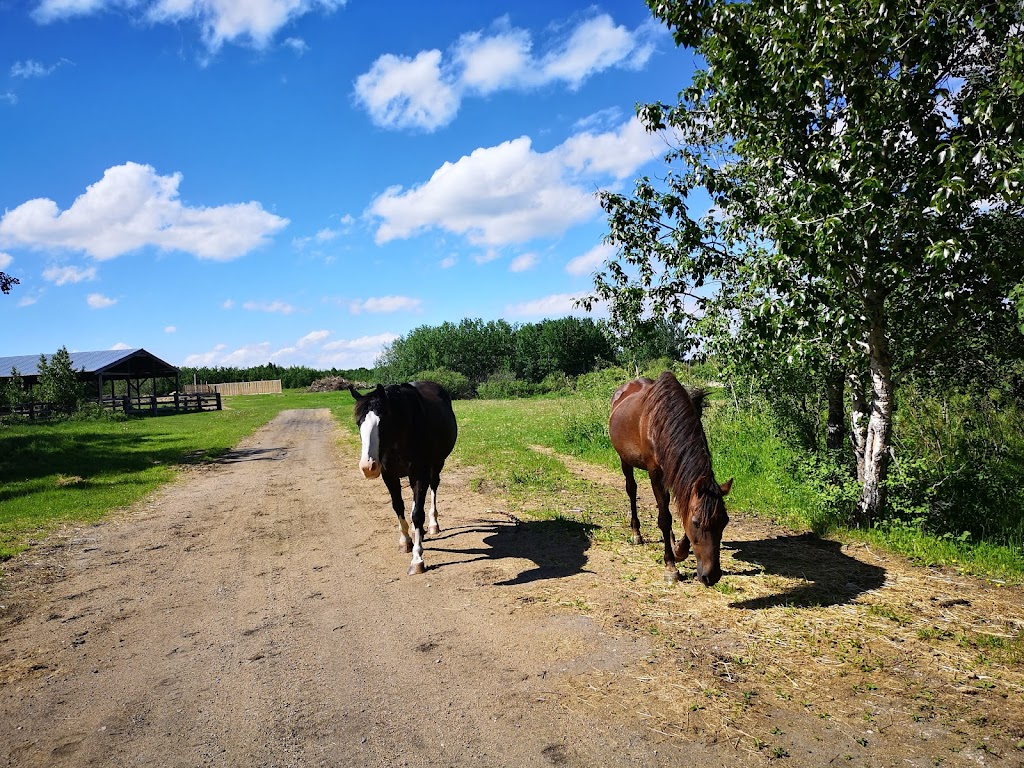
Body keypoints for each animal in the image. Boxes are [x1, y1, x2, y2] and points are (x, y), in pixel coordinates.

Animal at [350, 382, 458, 573]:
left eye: (383, 421)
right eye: (358, 422)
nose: (368, 467)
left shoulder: (422, 474)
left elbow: (417, 514)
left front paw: (417, 559)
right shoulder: (389, 477)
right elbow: (398, 507)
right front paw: (406, 541)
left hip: (437, 464)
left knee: (433, 487)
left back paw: (432, 525)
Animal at [606, 374, 729, 589]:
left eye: (724, 522)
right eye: (697, 523)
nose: (712, 576)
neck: (662, 421)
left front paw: (680, 549)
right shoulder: (655, 472)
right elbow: (665, 517)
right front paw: (671, 566)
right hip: (624, 460)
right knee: (632, 490)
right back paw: (636, 533)